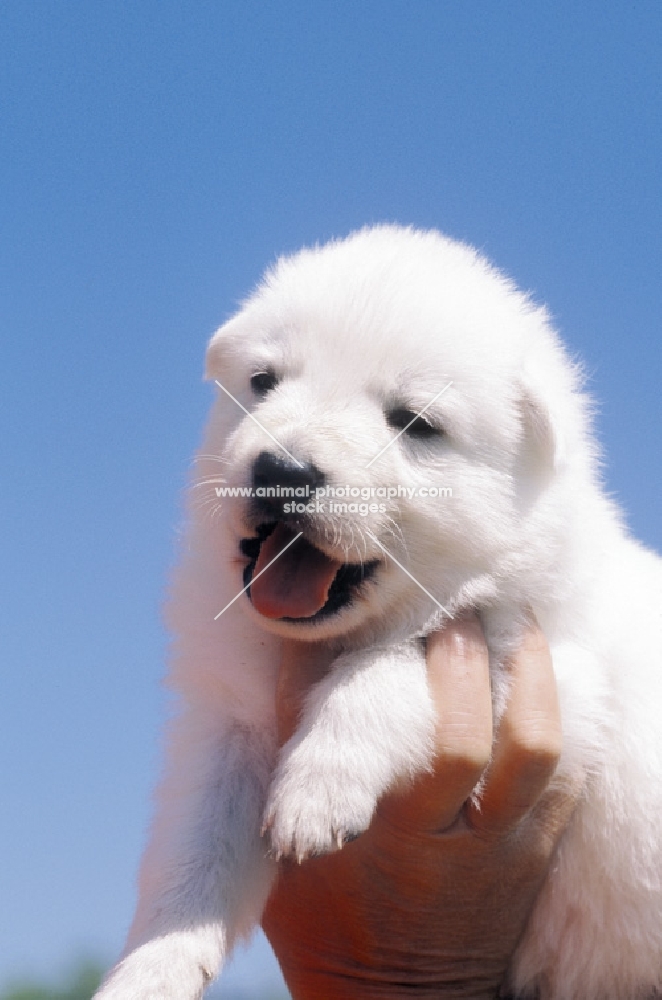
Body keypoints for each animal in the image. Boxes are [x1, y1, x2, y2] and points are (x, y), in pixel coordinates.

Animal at [96, 229, 662, 1000]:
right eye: (264, 381)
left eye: (415, 423)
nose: (284, 471)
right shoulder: (225, 722)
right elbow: (195, 855)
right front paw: (150, 968)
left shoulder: (550, 674)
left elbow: (393, 662)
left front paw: (319, 784)